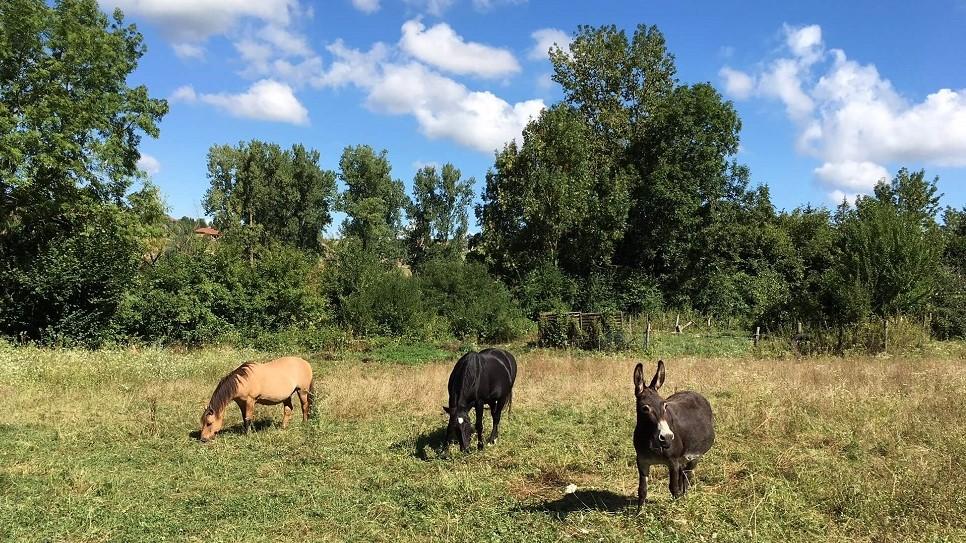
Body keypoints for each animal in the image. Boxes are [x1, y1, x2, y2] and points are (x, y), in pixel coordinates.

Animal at [636, 362, 720, 510]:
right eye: (645, 408)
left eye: (665, 405)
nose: (667, 437)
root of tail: (693, 392)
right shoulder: (642, 461)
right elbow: (642, 491)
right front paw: (639, 513)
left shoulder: (673, 462)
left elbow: (673, 488)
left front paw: (676, 509)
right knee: (683, 475)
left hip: (694, 456)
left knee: (687, 477)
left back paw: (685, 498)